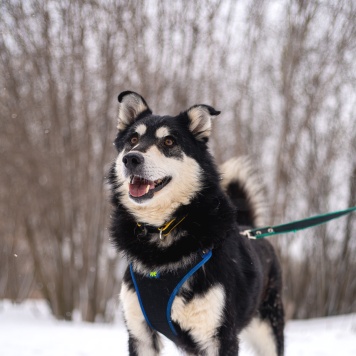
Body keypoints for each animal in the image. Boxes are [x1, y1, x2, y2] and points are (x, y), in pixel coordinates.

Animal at [108, 90, 284, 354]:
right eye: (133, 139)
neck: (163, 229)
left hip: (269, 329)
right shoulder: (140, 335)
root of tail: (251, 229)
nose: (131, 159)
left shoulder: (220, 337)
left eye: (169, 142)